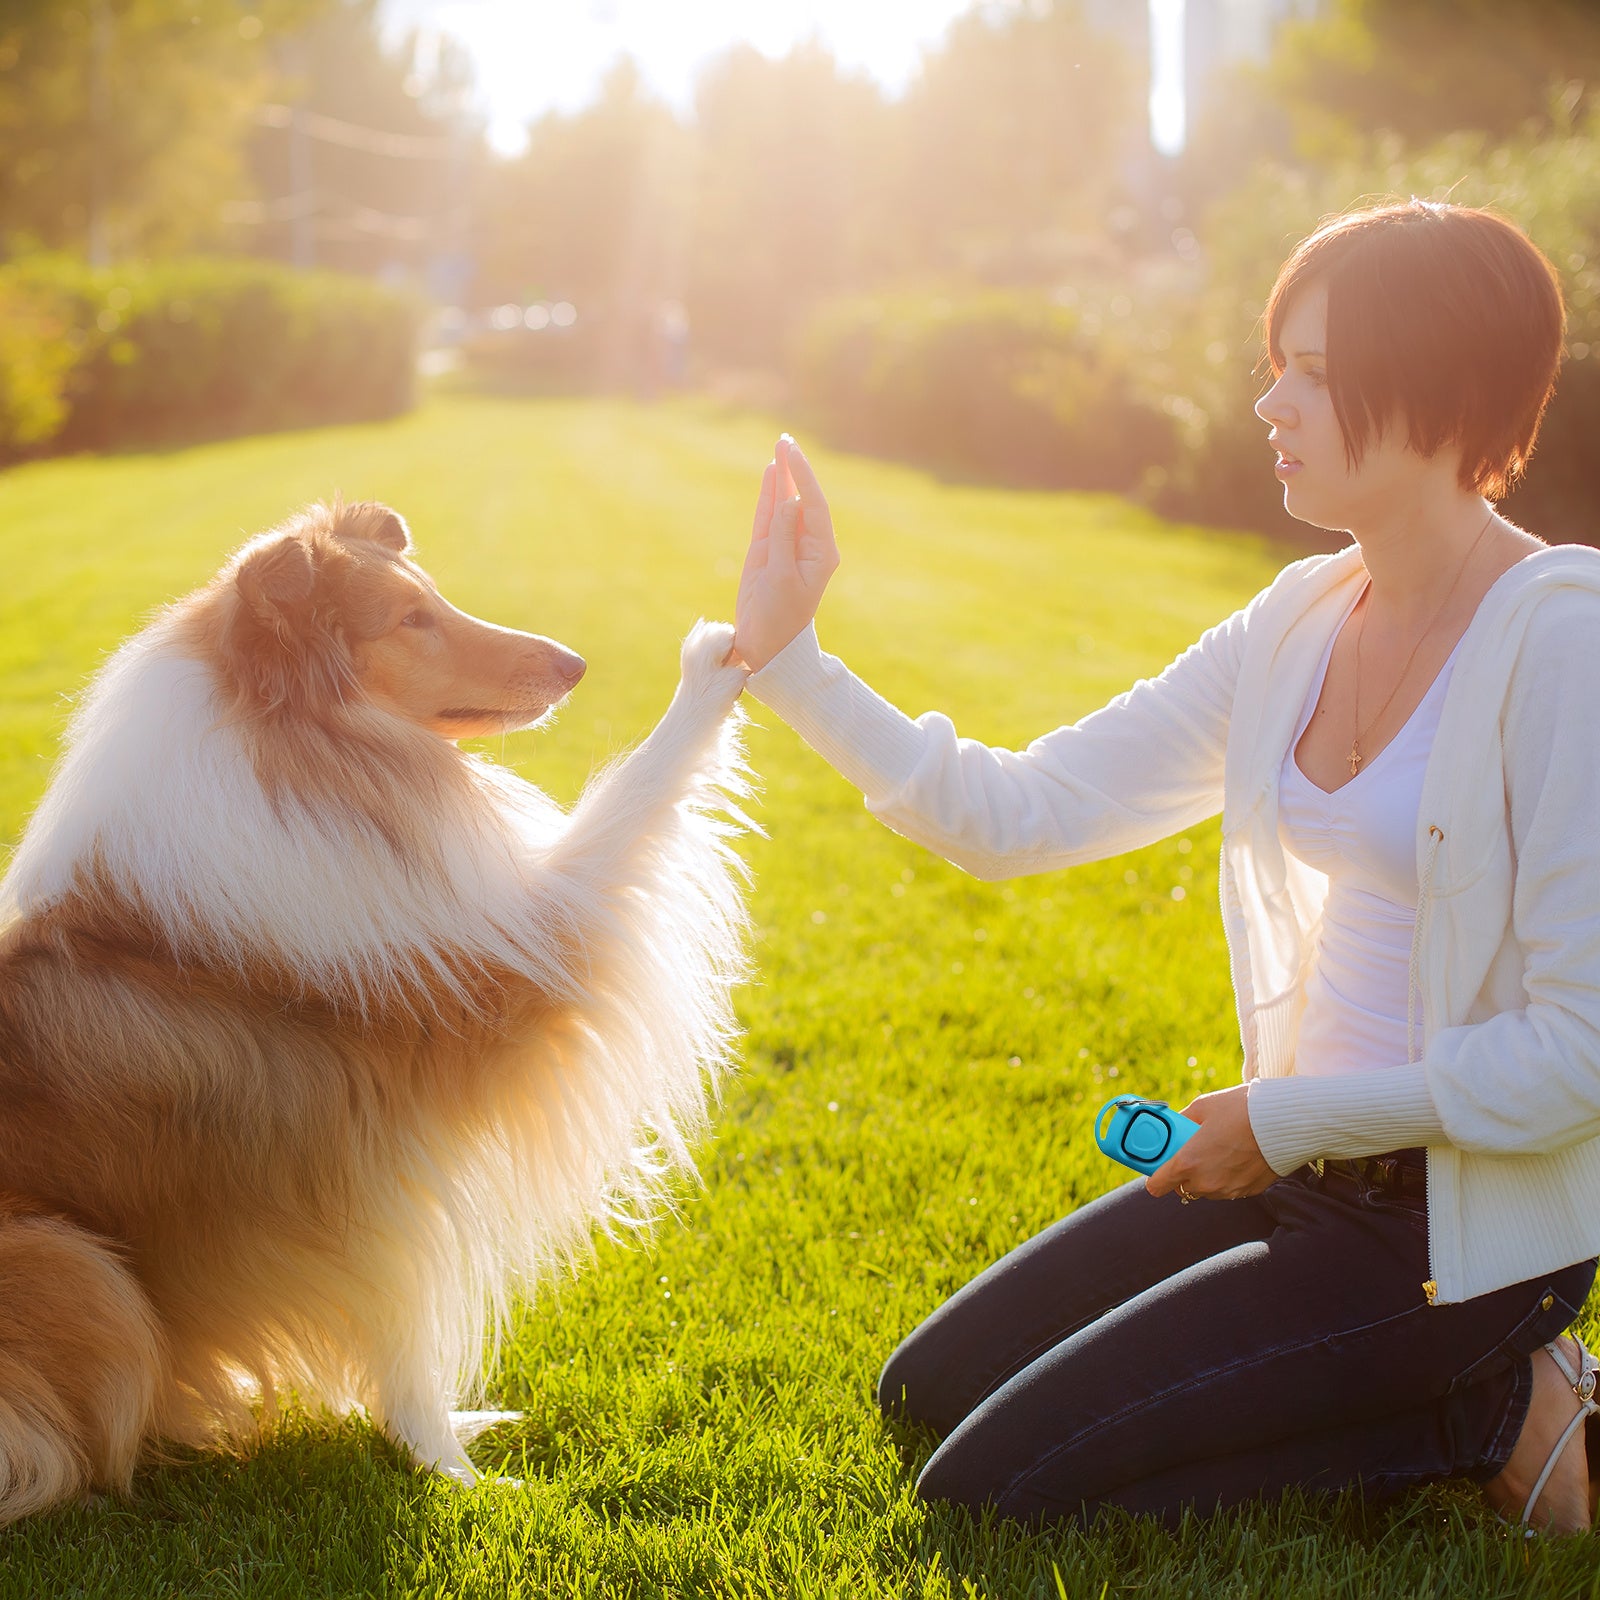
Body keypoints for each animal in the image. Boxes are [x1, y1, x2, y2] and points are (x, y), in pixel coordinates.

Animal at [0, 492, 755, 1516]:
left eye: (432, 596)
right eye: (408, 620)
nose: (575, 664)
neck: (306, 758)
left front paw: (453, 1444)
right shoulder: (506, 982)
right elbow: (632, 796)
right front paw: (461, 1478)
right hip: (78, 1269)